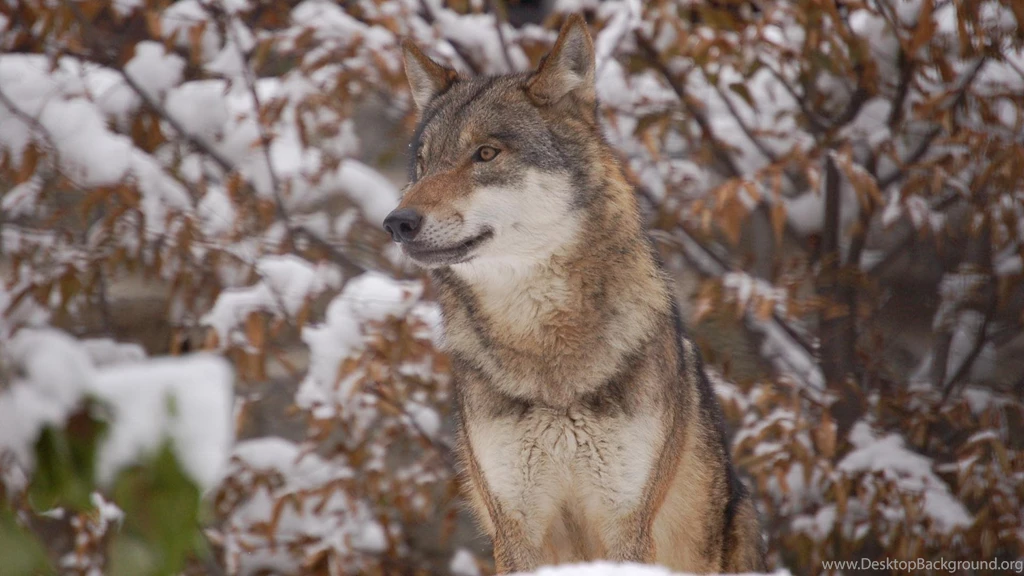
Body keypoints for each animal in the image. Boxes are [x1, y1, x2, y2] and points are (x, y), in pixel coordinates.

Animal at [383, 15, 766, 574]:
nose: (397, 223)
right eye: (423, 165)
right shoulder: (516, 527)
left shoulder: (626, 522)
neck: (549, 361)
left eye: (486, 153)